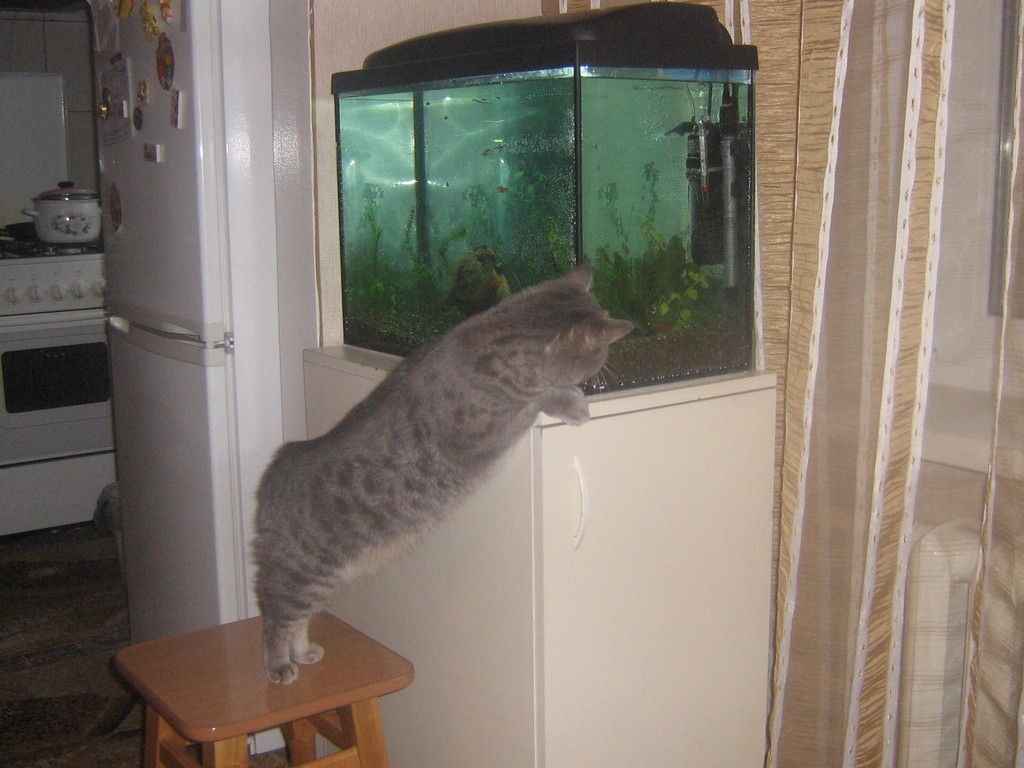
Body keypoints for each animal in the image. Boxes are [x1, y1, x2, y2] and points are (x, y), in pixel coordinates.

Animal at [252, 265, 632, 684]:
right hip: (303, 572)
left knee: (297, 620)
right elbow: (537, 399)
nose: (608, 364)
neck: (487, 343)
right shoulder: (490, 431)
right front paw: (571, 402)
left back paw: (303, 652)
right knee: (276, 617)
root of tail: (272, 476)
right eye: (602, 351)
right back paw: (279, 664)